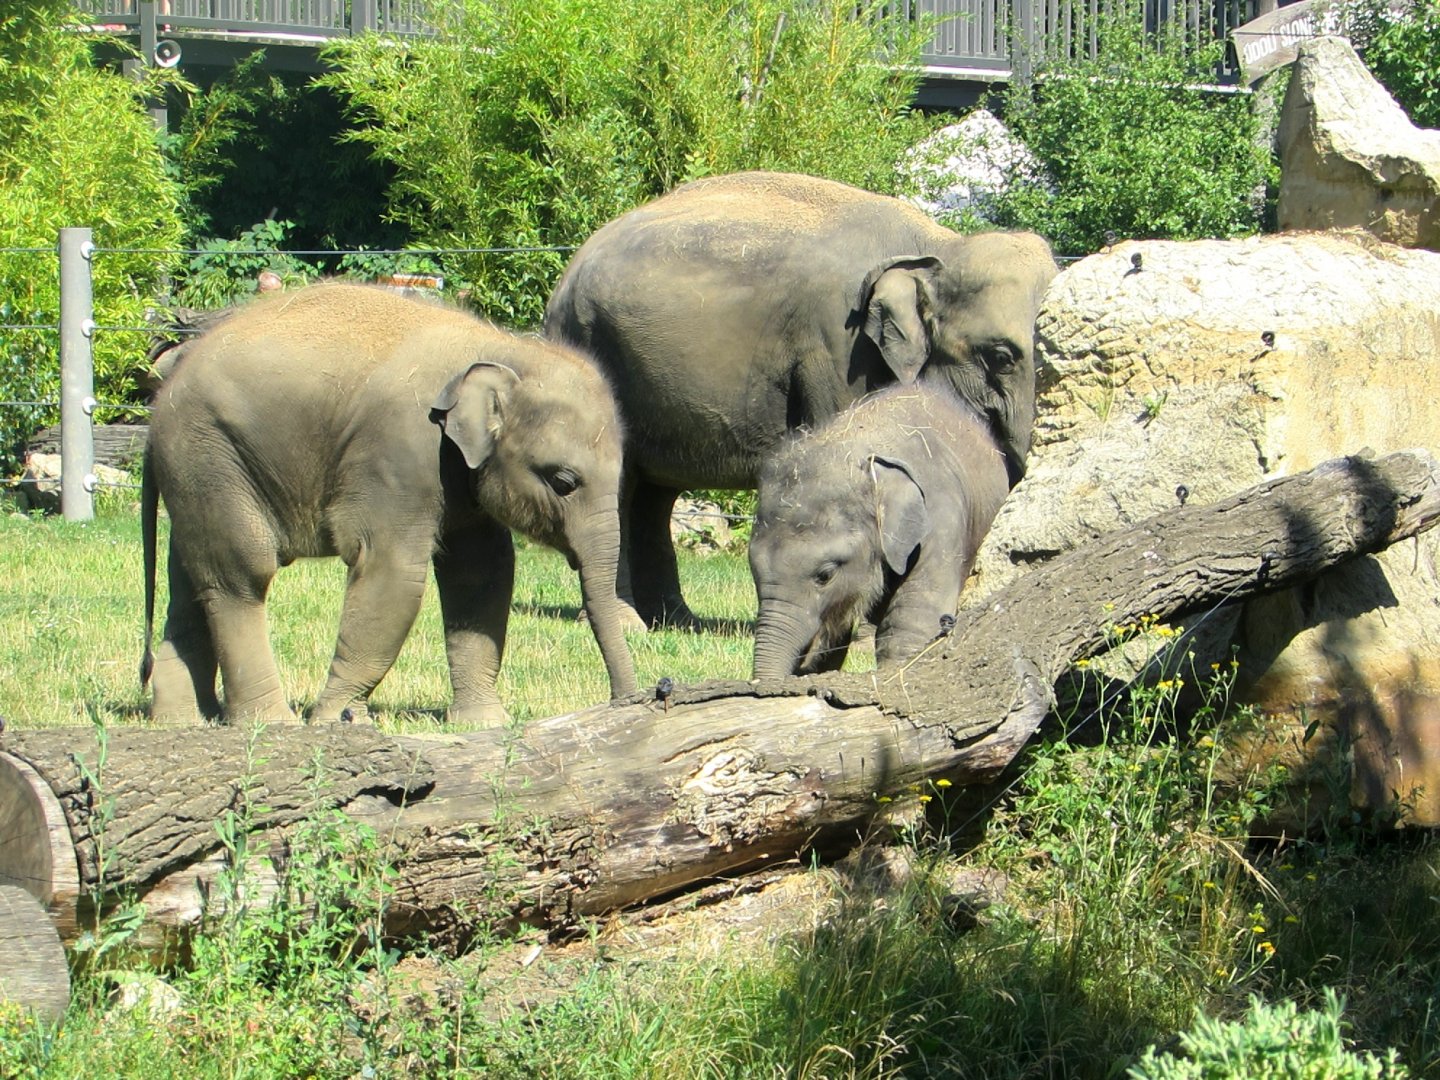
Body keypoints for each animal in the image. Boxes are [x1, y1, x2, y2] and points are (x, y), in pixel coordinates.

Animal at [141, 282, 638, 727]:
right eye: (563, 481)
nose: (628, 702)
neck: (502, 348)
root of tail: (162, 391)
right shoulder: (398, 451)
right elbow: (393, 573)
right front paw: (335, 721)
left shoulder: (458, 470)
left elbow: (482, 573)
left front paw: (484, 724)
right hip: (207, 451)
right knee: (242, 574)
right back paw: (271, 723)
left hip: (202, 470)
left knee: (191, 580)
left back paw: (183, 721)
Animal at [543, 170, 1058, 628]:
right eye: (1001, 356)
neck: (940, 245)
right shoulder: (837, 349)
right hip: (592, 345)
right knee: (622, 487)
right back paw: (630, 624)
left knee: (655, 495)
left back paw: (675, 620)